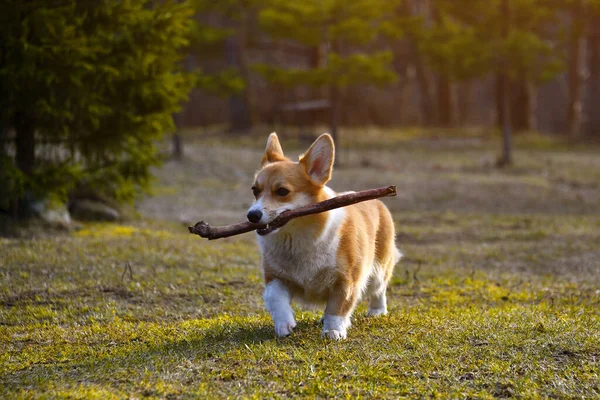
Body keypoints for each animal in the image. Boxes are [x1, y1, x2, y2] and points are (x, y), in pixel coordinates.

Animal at [248, 133, 404, 340]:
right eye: (255, 190)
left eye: (282, 191)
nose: (251, 216)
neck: (298, 237)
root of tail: (376, 201)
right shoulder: (275, 277)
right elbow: (276, 299)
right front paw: (284, 325)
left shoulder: (346, 280)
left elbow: (337, 308)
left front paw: (333, 330)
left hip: (378, 269)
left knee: (379, 290)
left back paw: (377, 311)